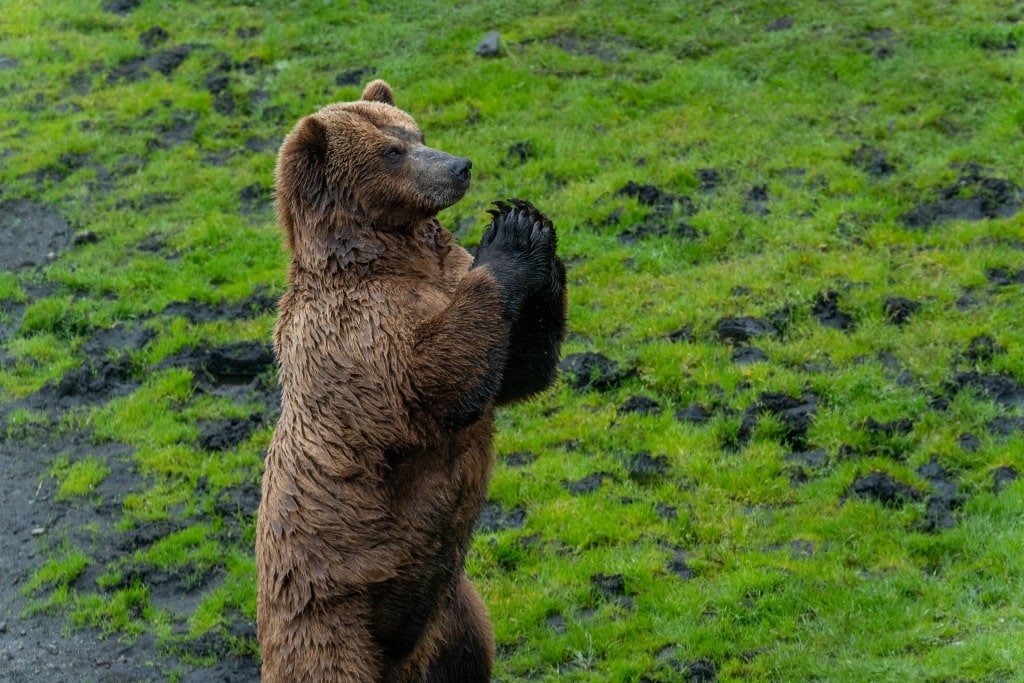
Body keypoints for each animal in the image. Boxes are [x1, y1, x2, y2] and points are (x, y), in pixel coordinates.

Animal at [252, 76, 565, 683]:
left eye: (417, 132)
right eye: (392, 152)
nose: (459, 166)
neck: (391, 255)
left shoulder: (443, 281)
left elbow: (515, 372)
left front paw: (536, 228)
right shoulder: (355, 334)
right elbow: (434, 381)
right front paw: (511, 237)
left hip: (455, 609)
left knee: (469, 653)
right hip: (329, 619)